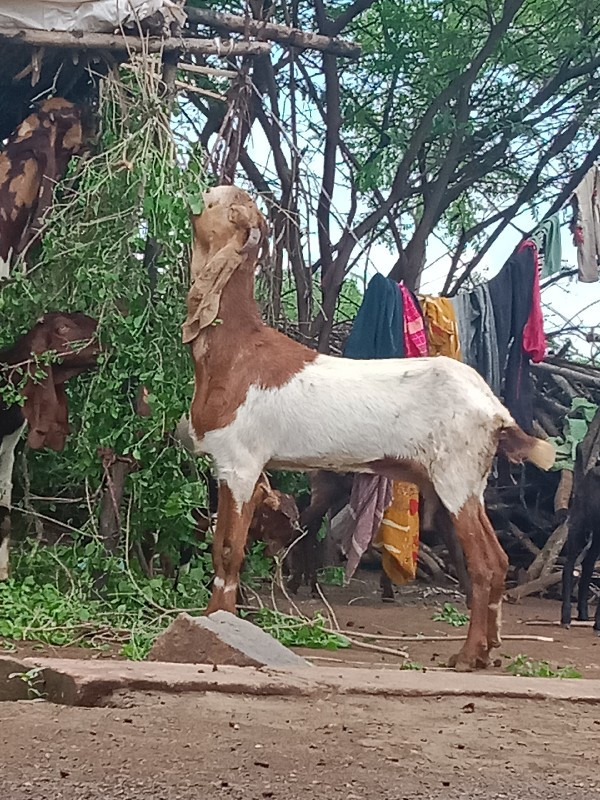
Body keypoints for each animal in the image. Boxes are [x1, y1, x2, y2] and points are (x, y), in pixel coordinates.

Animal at [180, 186, 556, 668]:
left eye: (214, 204)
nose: (194, 198)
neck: (237, 347)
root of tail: (495, 410)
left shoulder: (240, 463)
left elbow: (228, 548)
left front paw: (217, 623)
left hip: (455, 477)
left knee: (487, 564)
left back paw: (468, 655)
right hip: (470, 481)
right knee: (501, 560)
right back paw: (488, 650)